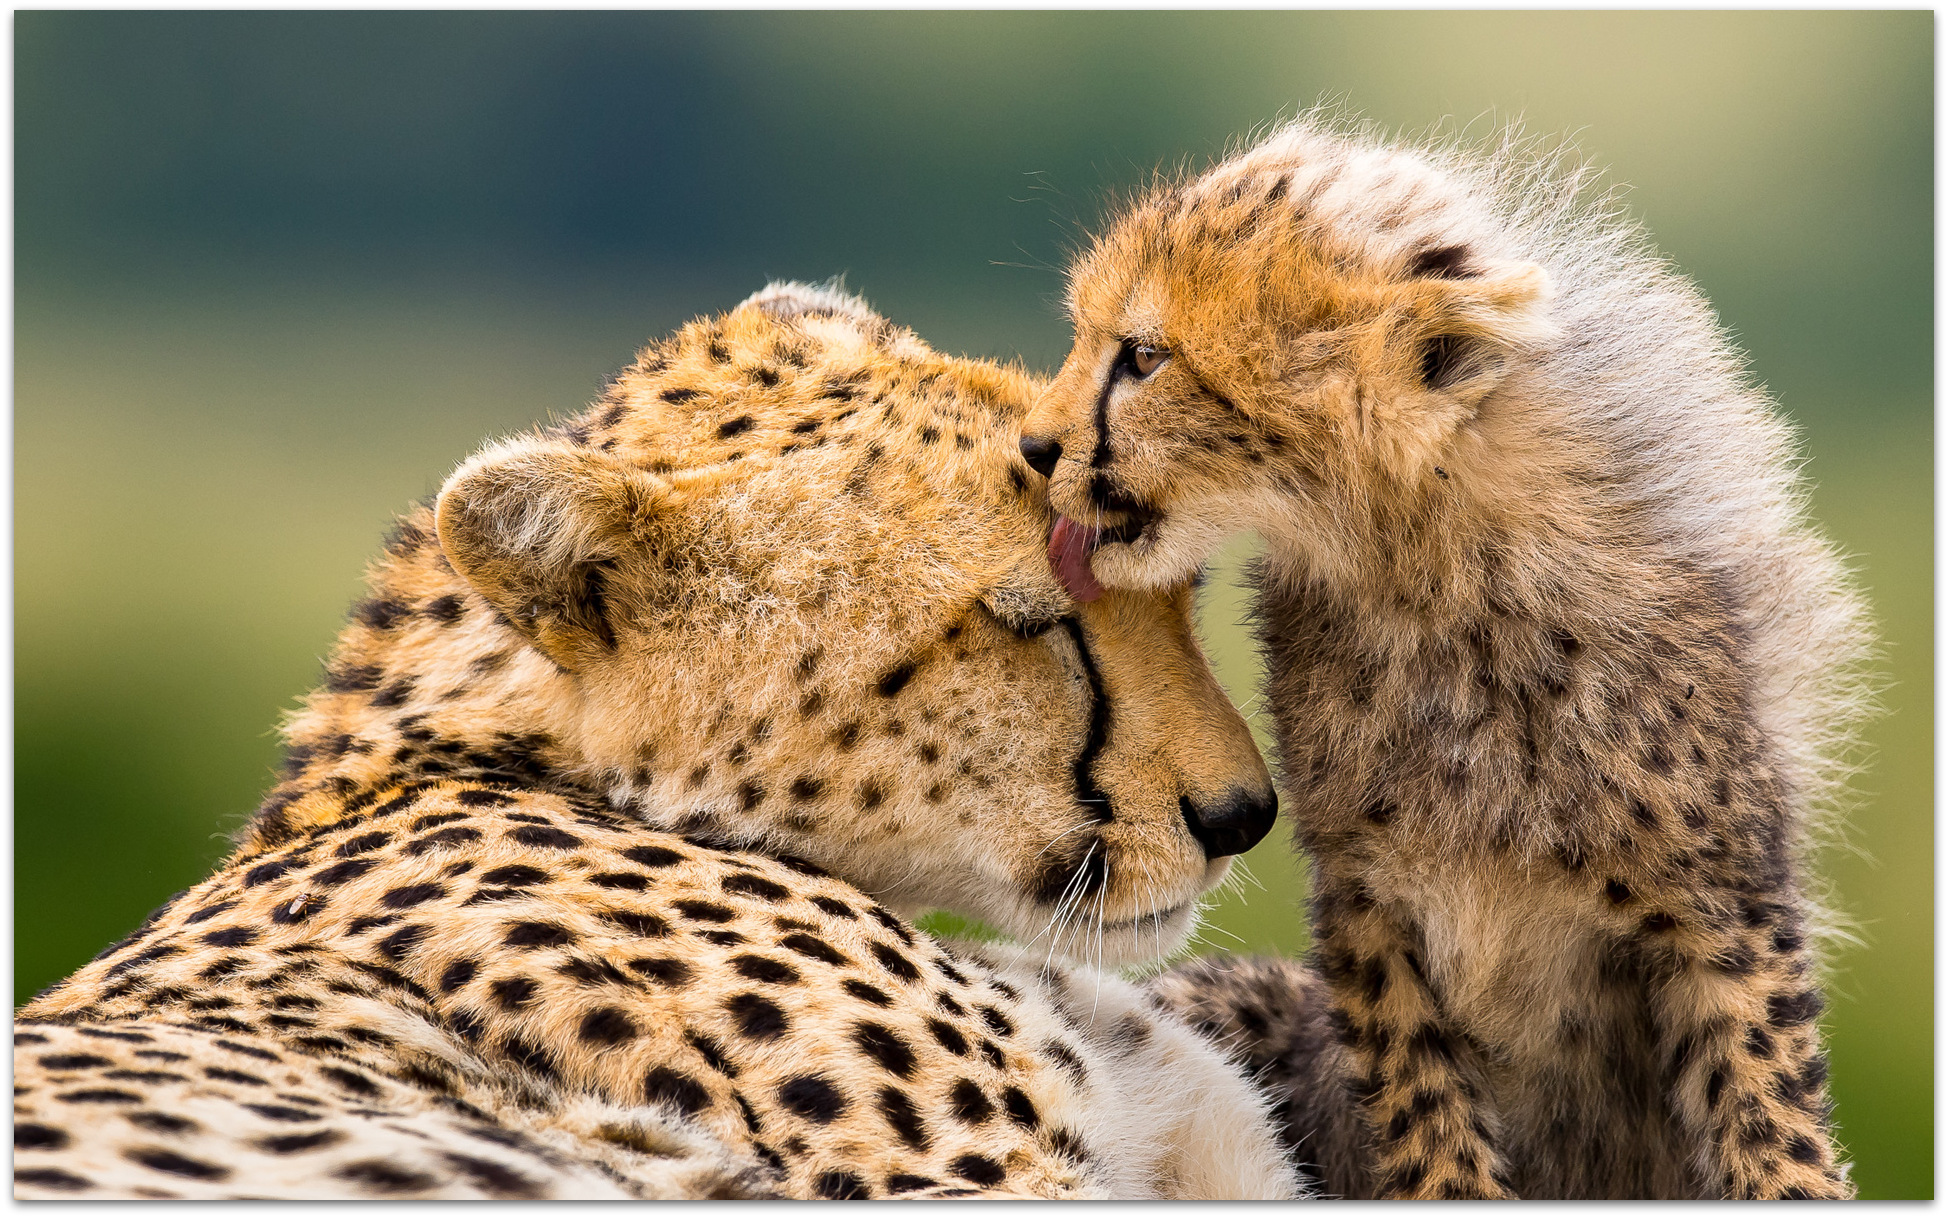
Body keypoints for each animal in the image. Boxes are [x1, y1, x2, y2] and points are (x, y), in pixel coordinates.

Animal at [1028, 116, 1862, 1200]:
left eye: (1142, 356)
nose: (1034, 448)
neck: (1423, 575)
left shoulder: (1721, 912)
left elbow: (1771, 1122)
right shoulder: (1369, 906)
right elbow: (1429, 1121)